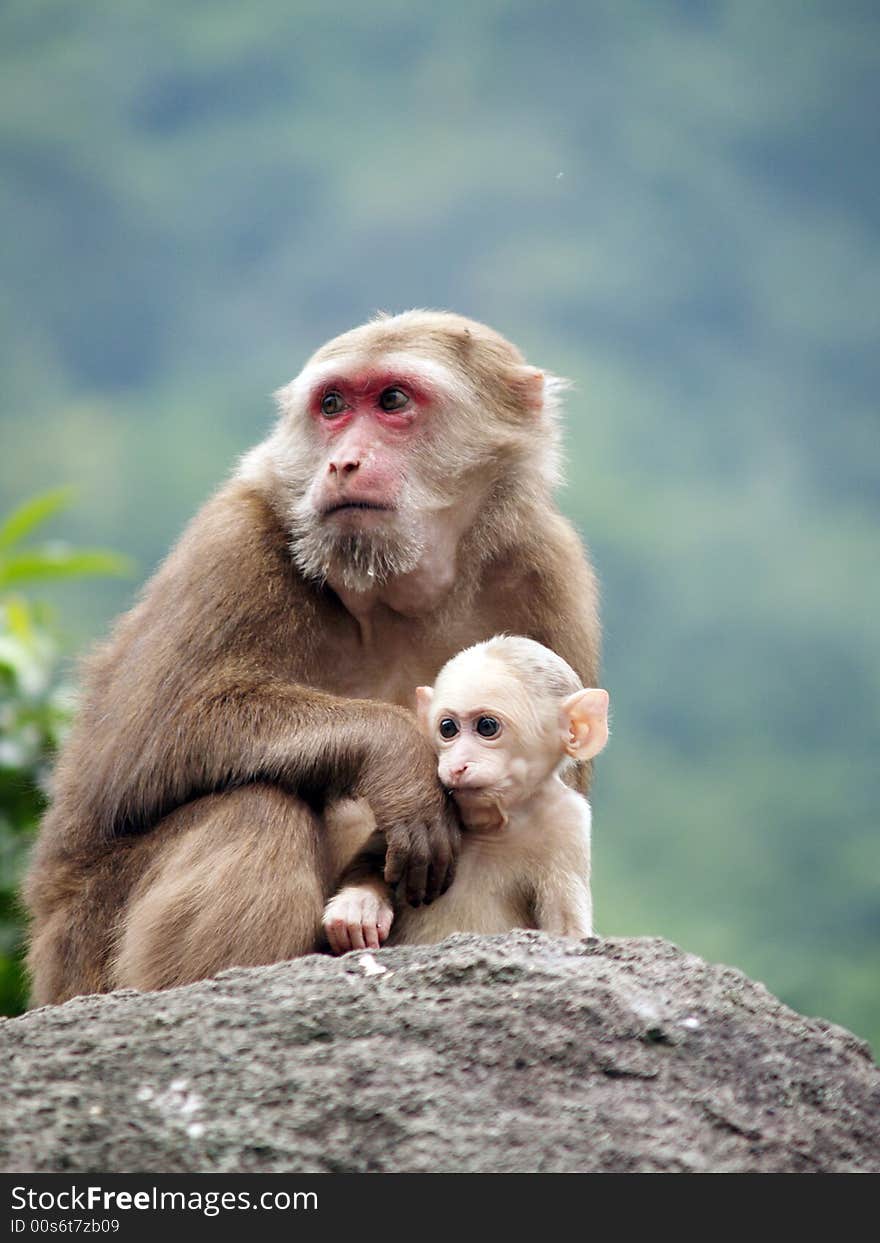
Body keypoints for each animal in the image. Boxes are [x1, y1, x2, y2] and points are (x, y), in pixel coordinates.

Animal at [320, 636, 609, 954]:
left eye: (487, 726)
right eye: (448, 728)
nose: (457, 766)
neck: (494, 824)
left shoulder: (567, 821)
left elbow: (565, 929)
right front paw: (361, 906)